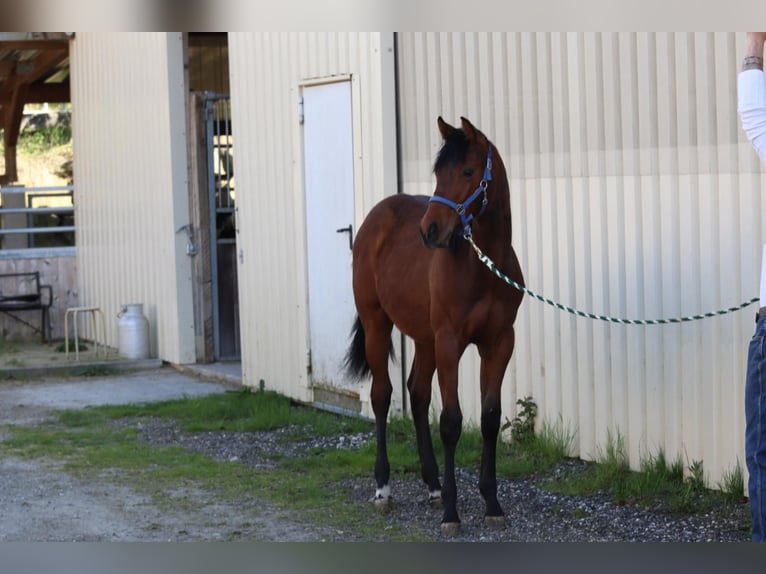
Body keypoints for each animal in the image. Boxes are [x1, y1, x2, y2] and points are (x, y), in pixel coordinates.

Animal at [344, 116, 525, 536]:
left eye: (468, 171)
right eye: (438, 173)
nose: (430, 230)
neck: (483, 269)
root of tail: (376, 216)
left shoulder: (499, 343)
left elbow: (490, 418)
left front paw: (491, 503)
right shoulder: (450, 342)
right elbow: (451, 422)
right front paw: (452, 515)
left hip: (424, 339)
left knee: (417, 392)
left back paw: (433, 486)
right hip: (378, 324)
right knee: (382, 395)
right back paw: (383, 488)